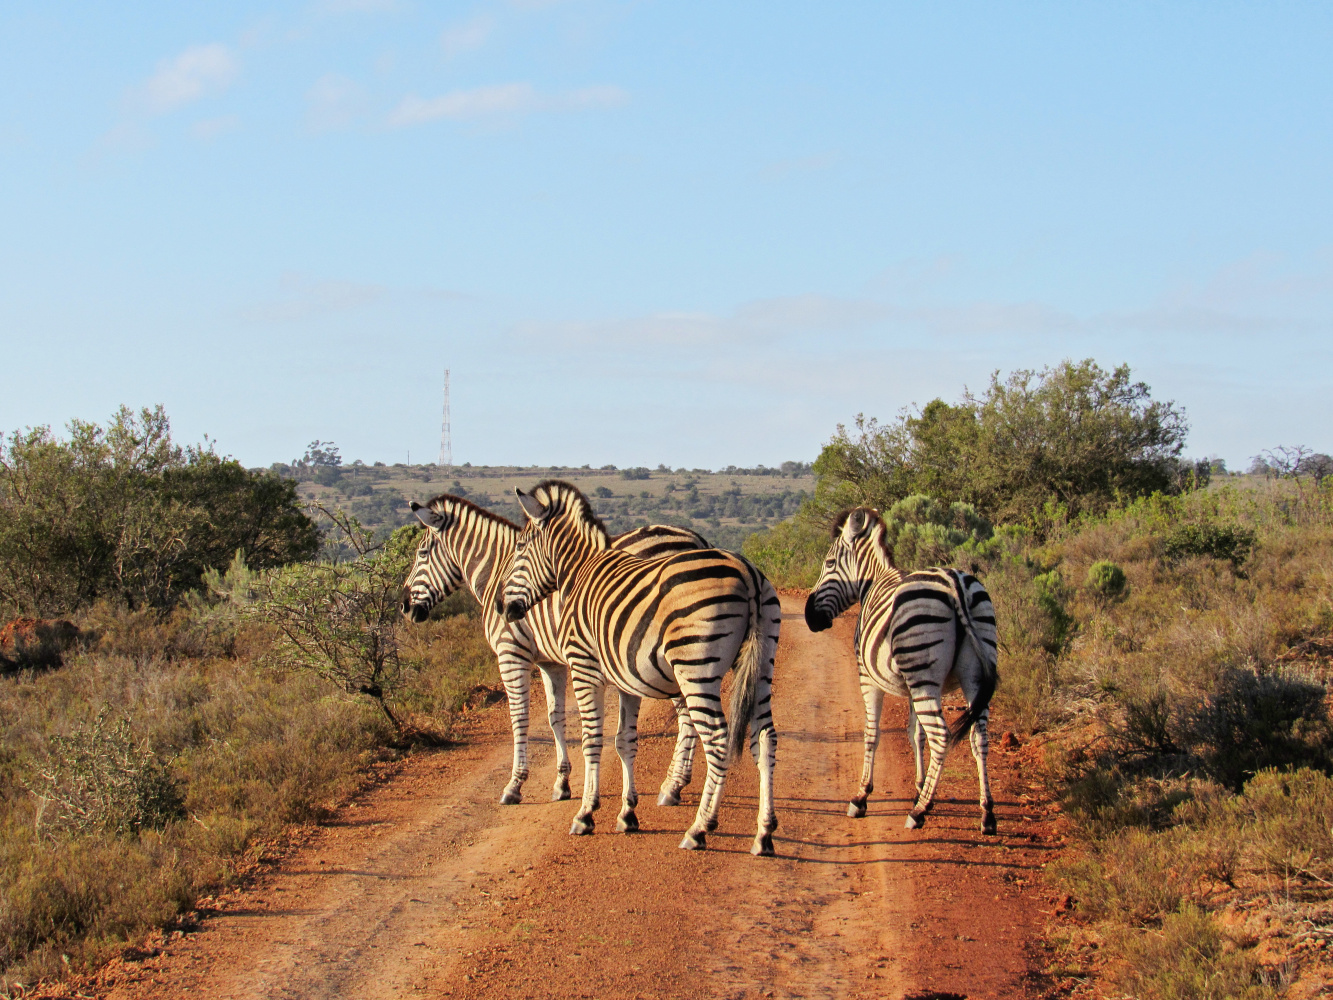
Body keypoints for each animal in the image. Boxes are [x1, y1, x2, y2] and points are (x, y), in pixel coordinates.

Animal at [399, 498, 709, 810]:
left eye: (421, 553)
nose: (403, 607)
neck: (497, 571)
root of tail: (695, 540)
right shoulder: (551, 663)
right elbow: (554, 717)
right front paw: (562, 783)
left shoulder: (511, 653)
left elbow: (519, 718)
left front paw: (514, 785)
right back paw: (675, 783)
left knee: (688, 715)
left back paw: (673, 786)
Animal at [498, 482, 778, 858]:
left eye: (520, 547)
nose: (502, 606)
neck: (580, 572)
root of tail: (747, 573)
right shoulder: (625, 682)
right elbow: (625, 741)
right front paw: (627, 814)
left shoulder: (584, 667)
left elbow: (592, 739)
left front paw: (586, 814)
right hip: (761, 668)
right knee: (764, 738)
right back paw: (763, 834)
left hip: (696, 669)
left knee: (718, 738)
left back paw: (699, 828)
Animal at [799, 504, 1002, 832]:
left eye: (829, 563)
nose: (809, 617)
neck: (874, 581)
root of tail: (954, 583)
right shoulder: (910, 688)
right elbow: (914, 733)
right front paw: (919, 787)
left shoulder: (867, 677)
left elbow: (872, 732)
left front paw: (861, 797)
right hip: (971, 674)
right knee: (979, 737)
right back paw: (986, 814)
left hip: (925, 675)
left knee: (942, 736)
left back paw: (919, 812)